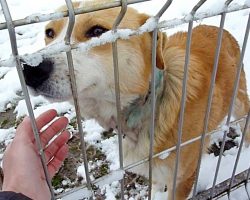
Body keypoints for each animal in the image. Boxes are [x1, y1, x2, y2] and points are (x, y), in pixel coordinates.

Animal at [22, 1, 249, 200]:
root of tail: (218, 28)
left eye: (97, 31)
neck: (149, 105)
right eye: (49, 33)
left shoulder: (183, 178)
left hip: (240, 102)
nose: (30, 69)